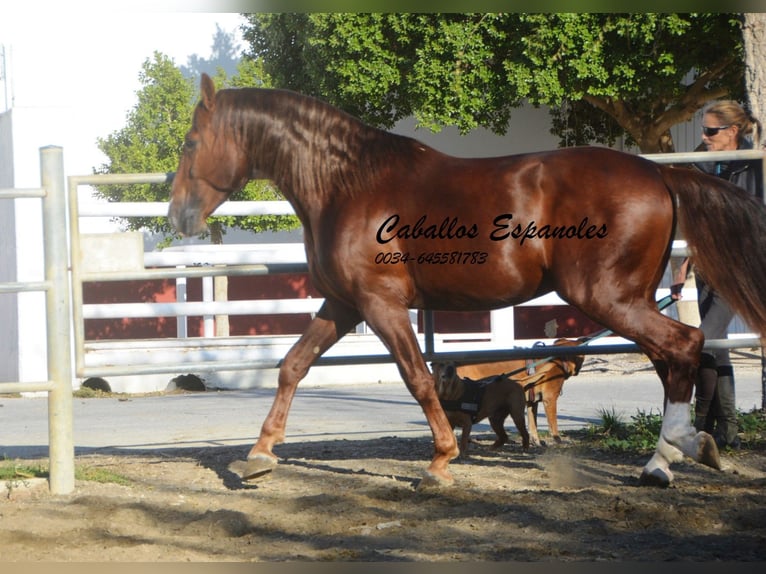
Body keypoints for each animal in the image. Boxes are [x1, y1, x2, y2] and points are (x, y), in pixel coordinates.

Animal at [452, 340, 584, 448]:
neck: (559, 359)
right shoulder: (550, 399)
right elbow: (553, 424)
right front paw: (557, 440)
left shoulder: (532, 403)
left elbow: (533, 425)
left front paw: (536, 442)